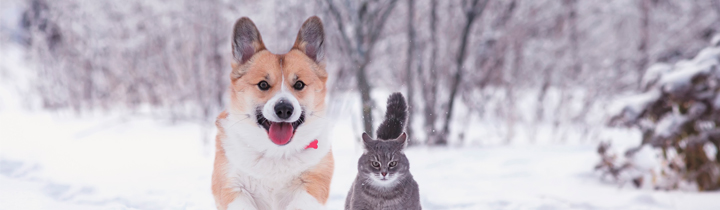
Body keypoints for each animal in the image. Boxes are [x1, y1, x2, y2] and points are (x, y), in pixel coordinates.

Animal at [212, 16, 334, 210]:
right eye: (263, 84)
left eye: (299, 84)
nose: (284, 109)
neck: (276, 152)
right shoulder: (231, 186)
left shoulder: (314, 183)